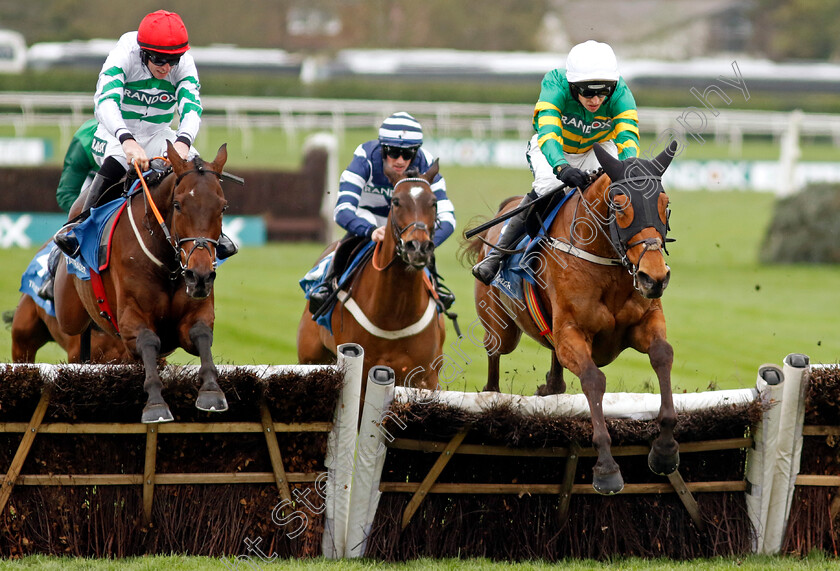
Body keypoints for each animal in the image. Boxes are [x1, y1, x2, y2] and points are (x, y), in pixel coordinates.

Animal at [54, 141, 231, 422]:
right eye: (178, 205)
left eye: (222, 207)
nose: (200, 276)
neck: (169, 264)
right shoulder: (130, 320)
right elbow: (148, 340)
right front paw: (156, 404)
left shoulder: (194, 313)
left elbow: (201, 334)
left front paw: (211, 392)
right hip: (68, 312)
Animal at [300, 163, 450, 392]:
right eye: (396, 201)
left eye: (433, 202)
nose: (418, 247)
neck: (394, 315)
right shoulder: (361, 372)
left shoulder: (426, 378)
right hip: (310, 357)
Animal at [462, 143, 684, 496]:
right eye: (619, 204)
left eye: (665, 205)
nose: (655, 277)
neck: (609, 264)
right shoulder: (572, 333)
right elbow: (594, 380)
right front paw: (607, 469)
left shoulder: (645, 322)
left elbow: (663, 355)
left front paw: (664, 450)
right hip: (500, 329)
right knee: (494, 360)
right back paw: (492, 394)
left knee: (555, 373)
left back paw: (549, 387)